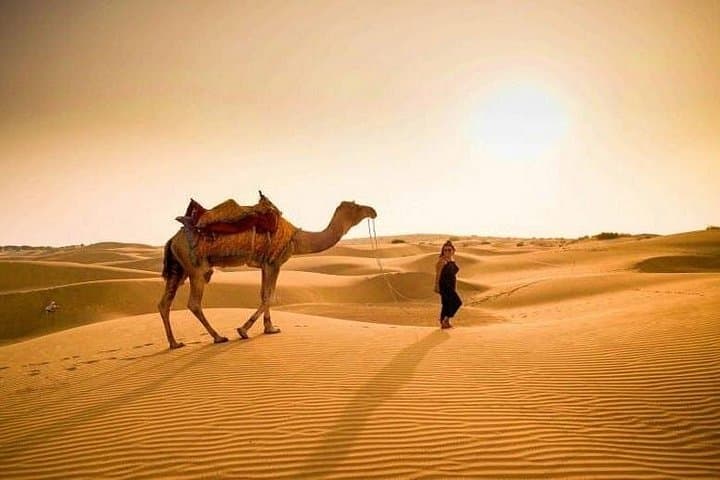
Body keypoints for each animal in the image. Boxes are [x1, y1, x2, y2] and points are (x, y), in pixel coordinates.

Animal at [158, 199, 377, 349]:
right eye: (356, 207)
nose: (373, 210)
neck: (296, 239)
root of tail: (172, 239)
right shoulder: (274, 262)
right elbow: (270, 296)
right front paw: (244, 330)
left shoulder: (265, 264)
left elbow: (264, 294)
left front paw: (269, 328)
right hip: (195, 268)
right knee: (194, 303)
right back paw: (218, 337)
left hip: (178, 269)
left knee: (164, 303)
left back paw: (174, 343)